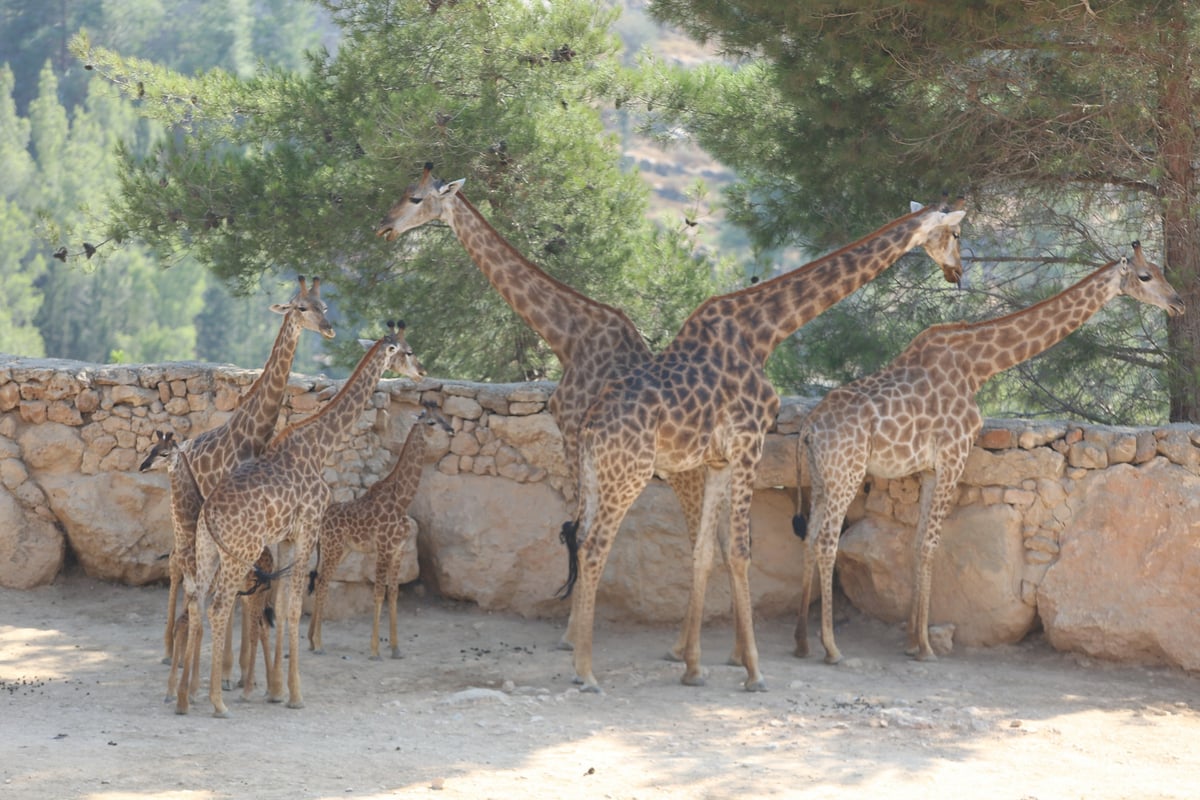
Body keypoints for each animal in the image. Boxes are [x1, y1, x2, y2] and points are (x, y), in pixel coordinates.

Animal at [152, 278, 338, 666]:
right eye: (301, 308)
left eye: (324, 306)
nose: (329, 329)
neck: (253, 434)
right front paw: (225, 666)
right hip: (184, 517)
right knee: (177, 564)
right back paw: (167, 649)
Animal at [184, 321, 429, 714]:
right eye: (406, 351)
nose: (422, 371)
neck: (320, 445)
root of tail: (209, 511)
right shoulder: (308, 528)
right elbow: (297, 607)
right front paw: (295, 695)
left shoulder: (286, 537)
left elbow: (284, 606)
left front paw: (276, 689)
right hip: (241, 551)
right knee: (220, 606)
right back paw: (218, 702)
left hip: (207, 549)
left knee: (197, 600)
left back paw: (187, 695)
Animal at [309, 402, 453, 662]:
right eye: (431, 422)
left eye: (443, 417)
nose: (452, 430)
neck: (402, 500)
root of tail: (321, 520)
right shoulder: (384, 548)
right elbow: (378, 593)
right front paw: (375, 650)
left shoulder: (398, 550)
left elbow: (393, 593)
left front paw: (396, 648)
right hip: (334, 547)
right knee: (323, 582)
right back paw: (318, 643)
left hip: (341, 549)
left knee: (320, 579)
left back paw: (310, 640)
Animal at [374, 164, 710, 662]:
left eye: (416, 198)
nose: (384, 226)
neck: (568, 337)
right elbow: (580, 529)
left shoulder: (572, 433)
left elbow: (578, 531)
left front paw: (571, 634)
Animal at [559, 196, 964, 690]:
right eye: (955, 234)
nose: (958, 271)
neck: (765, 332)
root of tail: (591, 426)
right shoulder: (748, 443)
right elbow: (739, 551)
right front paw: (754, 671)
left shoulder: (718, 460)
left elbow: (704, 552)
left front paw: (694, 669)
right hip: (629, 474)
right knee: (595, 547)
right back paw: (585, 672)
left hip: (598, 475)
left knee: (581, 539)